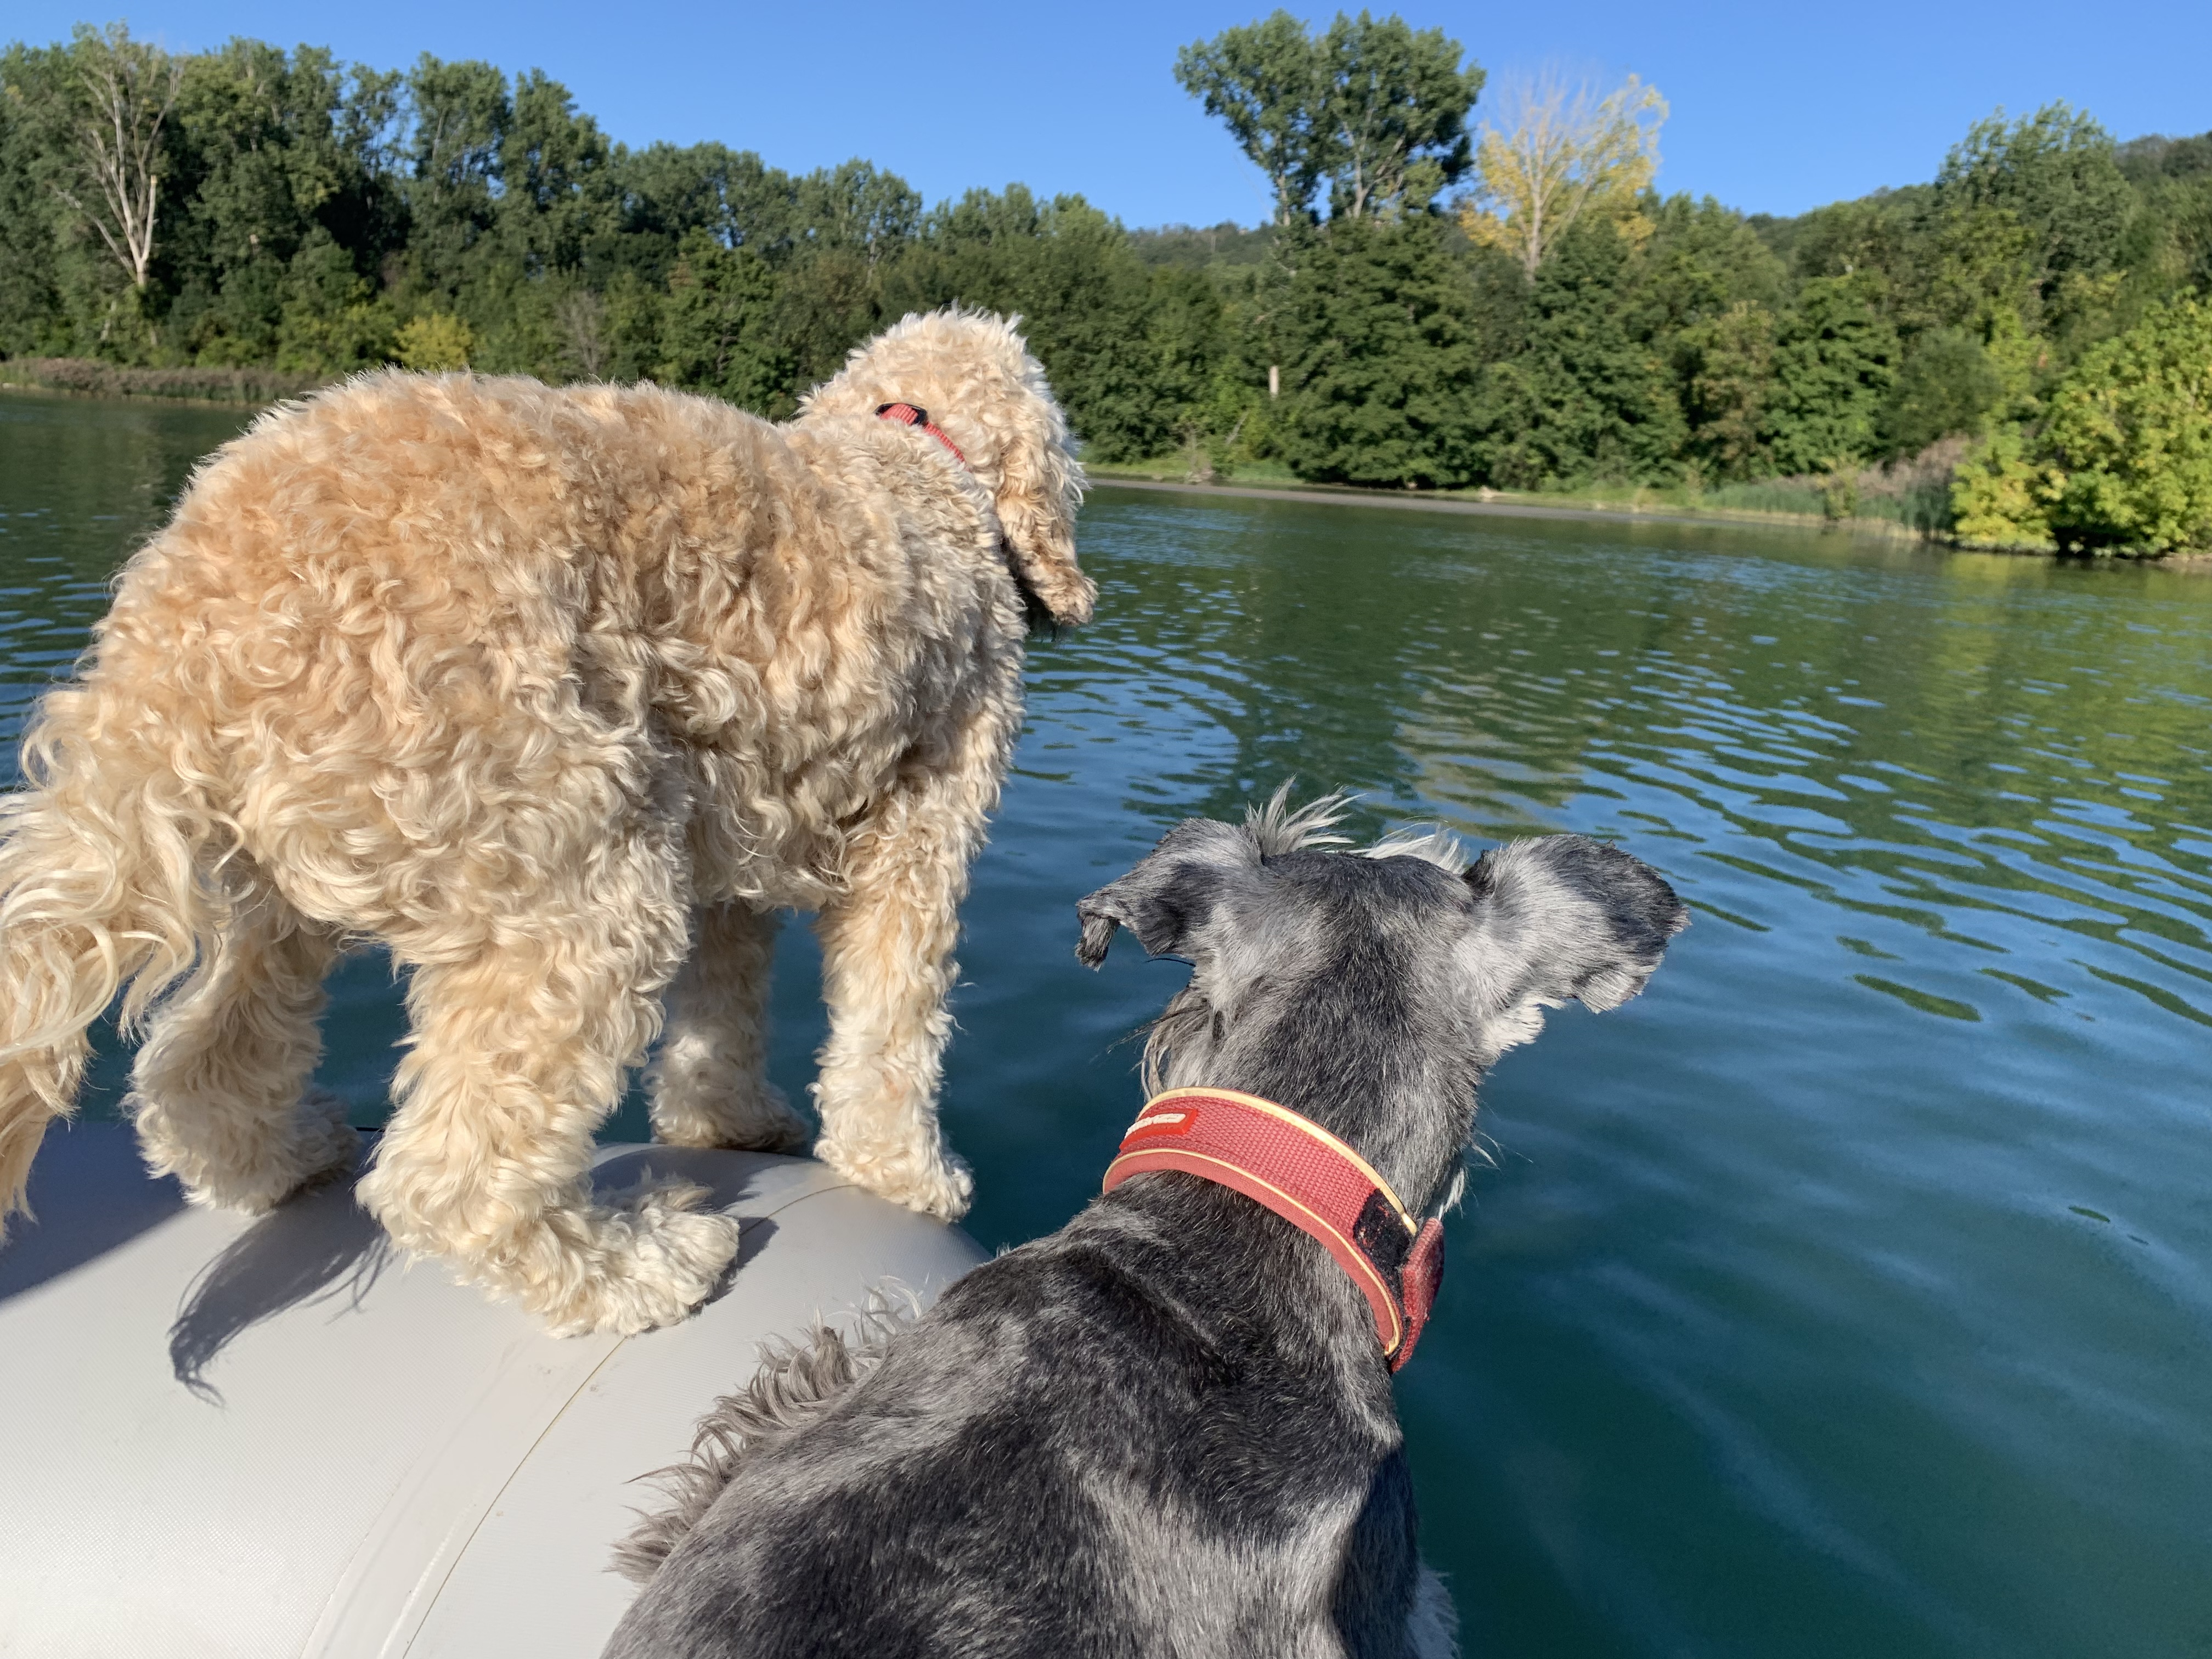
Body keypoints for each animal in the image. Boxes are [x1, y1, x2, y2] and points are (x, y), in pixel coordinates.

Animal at [0, 309, 1092, 1336]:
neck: (910, 449)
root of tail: (179, 614)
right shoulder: (921, 844)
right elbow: (894, 1028)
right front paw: (905, 1171)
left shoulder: (731, 843)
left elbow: (723, 1012)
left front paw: (727, 1122)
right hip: (582, 876)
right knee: (450, 1181)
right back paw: (641, 1267)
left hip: (290, 885)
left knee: (200, 1073)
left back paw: (289, 1157)